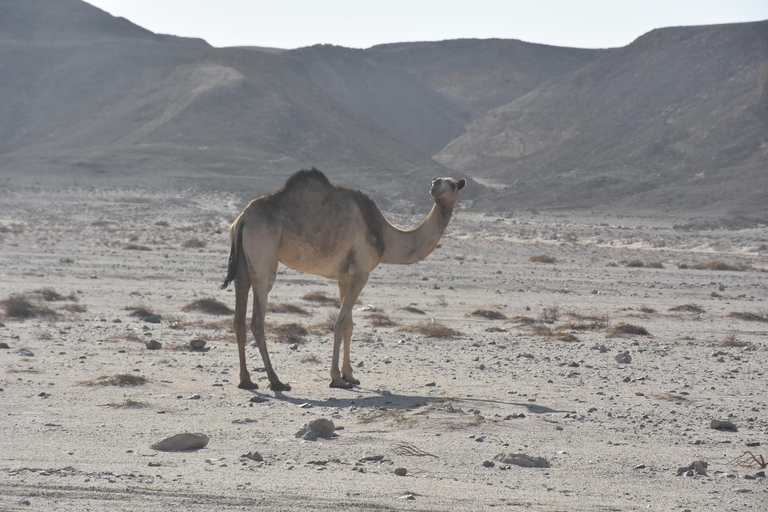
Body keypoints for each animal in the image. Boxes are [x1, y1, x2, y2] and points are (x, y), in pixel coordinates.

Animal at [220, 168, 465, 390]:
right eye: (438, 180)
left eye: (453, 184)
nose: (435, 186)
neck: (385, 235)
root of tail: (242, 219)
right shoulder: (361, 272)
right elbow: (339, 322)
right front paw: (337, 378)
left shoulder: (345, 277)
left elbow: (349, 323)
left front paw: (351, 375)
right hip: (263, 259)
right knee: (257, 319)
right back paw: (276, 381)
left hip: (242, 265)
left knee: (239, 319)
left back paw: (246, 380)